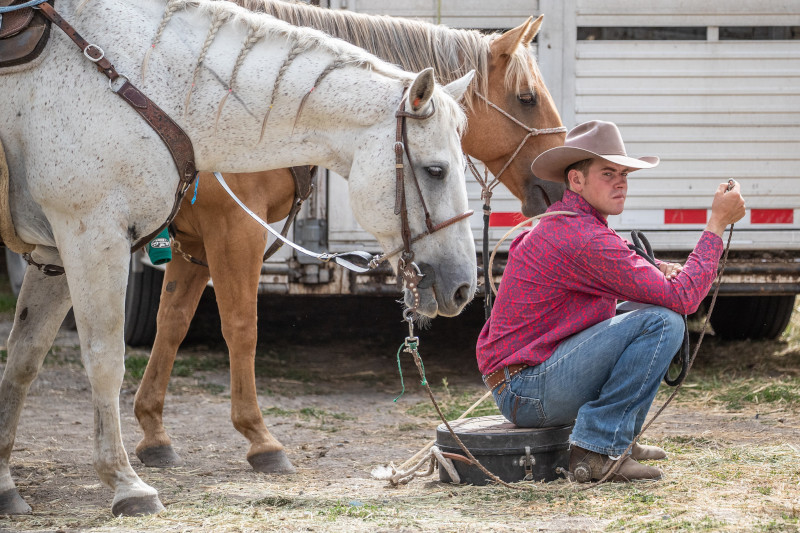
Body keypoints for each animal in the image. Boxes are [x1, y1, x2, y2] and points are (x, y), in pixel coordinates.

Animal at [0, 0, 476, 516]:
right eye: (436, 170)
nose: (463, 286)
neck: (149, 83)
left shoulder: (61, 250)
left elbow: (25, 357)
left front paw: (5, 483)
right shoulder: (98, 233)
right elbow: (116, 356)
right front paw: (128, 482)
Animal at [133, 2, 568, 478]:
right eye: (526, 98)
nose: (560, 179)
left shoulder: (194, 242)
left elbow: (171, 323)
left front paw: (152, 430)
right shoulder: (233, 229)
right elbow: (241, 327)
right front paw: (259, 438)